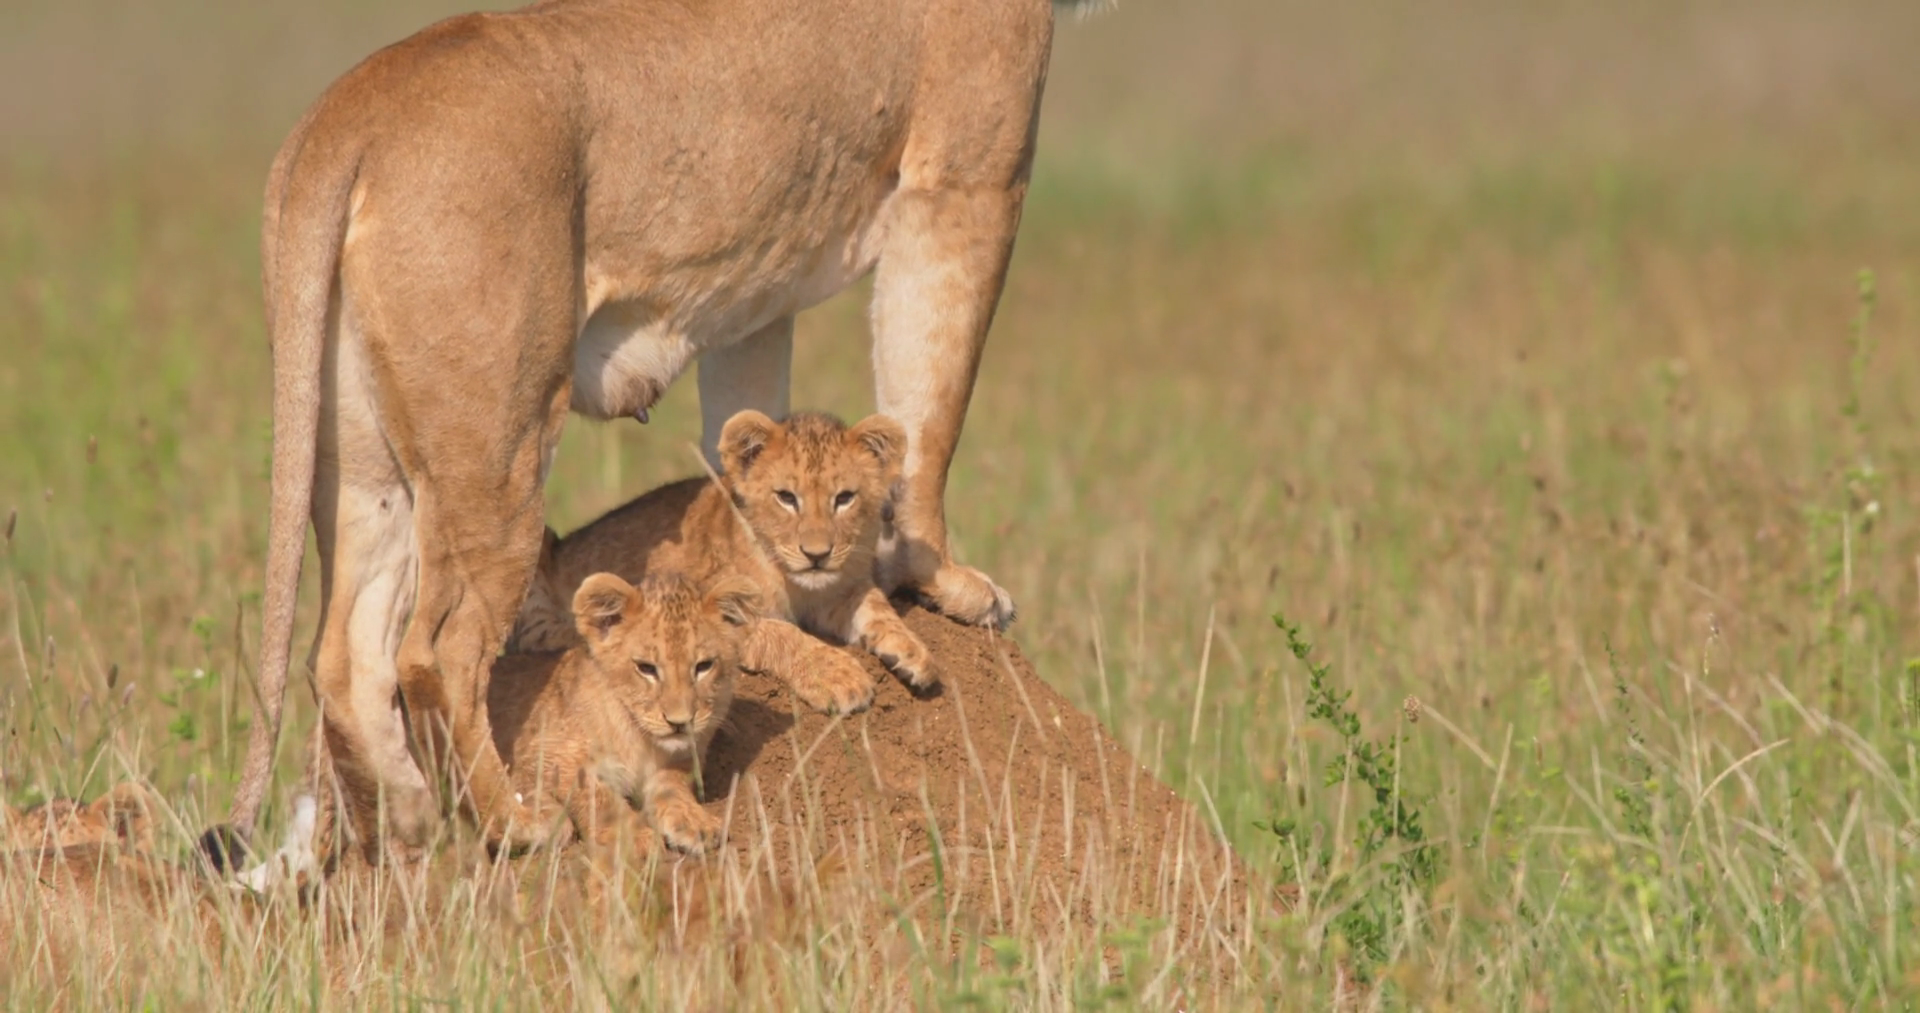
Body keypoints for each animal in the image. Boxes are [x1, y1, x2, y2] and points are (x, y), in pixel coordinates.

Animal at [490, 571, 756, 855]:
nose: (680, 722)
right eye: (646, 668)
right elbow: (596, 794)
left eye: (704, 666)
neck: (641, 738)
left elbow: (672, 787)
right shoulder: (539, 758)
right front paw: (633, 836)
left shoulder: (682, 759)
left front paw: (694, 820)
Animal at [511, 410, 931, 718]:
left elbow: (878, 607)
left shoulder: (841, 591)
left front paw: (913, 652)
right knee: (531, 634)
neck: (796, 582)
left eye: (844, 498)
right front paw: (839, 676)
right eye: (786, 497)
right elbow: (782, 634)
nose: (817, 554)